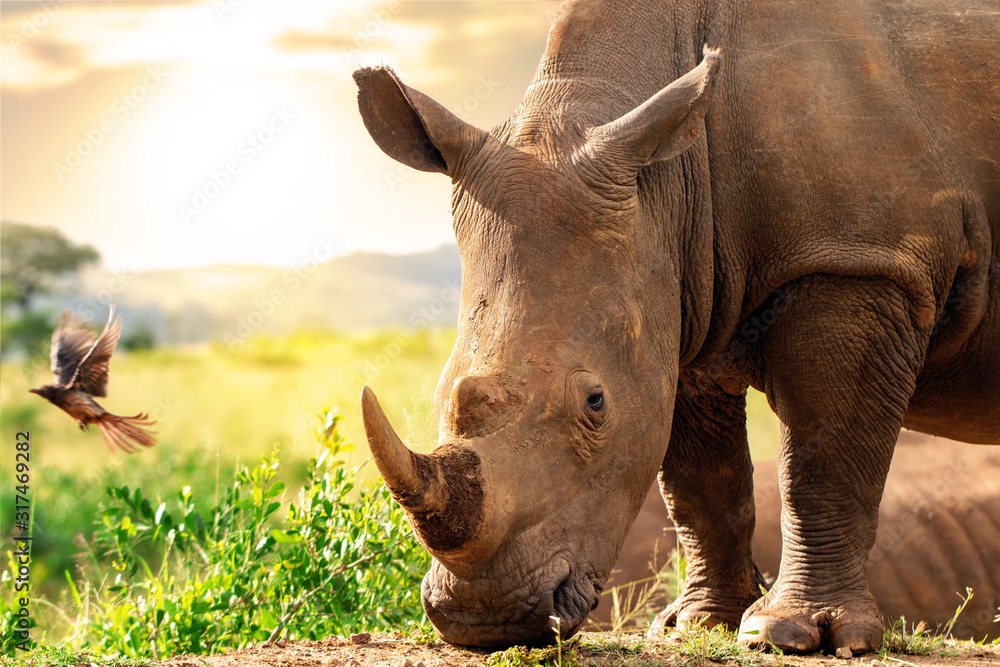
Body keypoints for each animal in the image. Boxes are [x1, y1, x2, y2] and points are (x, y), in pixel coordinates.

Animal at [353, 0, 1000, 653]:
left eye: (595, 403)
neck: (668, 181)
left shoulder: (861, 260)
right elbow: (700, 482)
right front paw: (700, 625)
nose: (483, 618)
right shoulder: (682, 302)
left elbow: (822, 460)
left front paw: (788, 633)